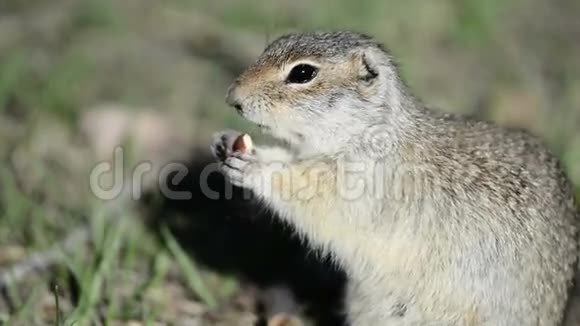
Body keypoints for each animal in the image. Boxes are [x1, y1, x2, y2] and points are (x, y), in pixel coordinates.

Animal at [211, 31, 576, 326]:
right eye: (271, 45)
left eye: (303, 73)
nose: (232, 96)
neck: (374, 130)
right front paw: (225, 141)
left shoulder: (357, 184)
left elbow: (308, 192)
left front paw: (254, 168)